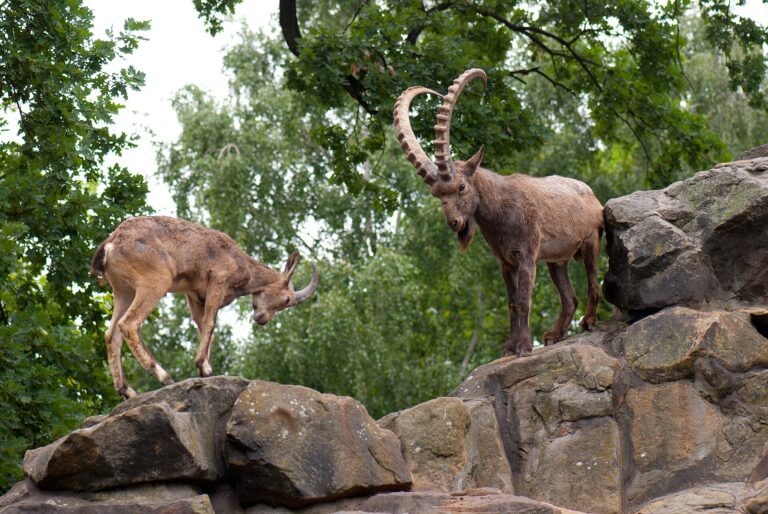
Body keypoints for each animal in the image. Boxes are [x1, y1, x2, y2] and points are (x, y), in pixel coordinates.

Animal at [91, 216, 318, 398]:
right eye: (286, 300)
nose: (262, 319)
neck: (241, 264)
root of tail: (110, 245)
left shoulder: (194, 296)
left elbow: (203, 328)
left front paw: (206, 370)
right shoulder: (218, 280)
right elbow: (209, 324)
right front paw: (202, 366)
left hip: (123, 290)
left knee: (111, 334)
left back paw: (127, 391)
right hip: (155, 282)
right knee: (128, 324)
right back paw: (164, 376)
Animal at [394, 69, 604, 356]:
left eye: (461, 187)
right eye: (436, 194)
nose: (453, 222)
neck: (500, 210)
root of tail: (594, 197)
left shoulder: (526, 256)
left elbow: (524, 301)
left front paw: (524, 346)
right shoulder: (506, 264)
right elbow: (512, 304)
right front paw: (509, 348)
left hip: (591, 242)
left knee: (593, 282)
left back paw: (589, 321)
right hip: (556, 260)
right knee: (570, 298)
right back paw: (553, 335)